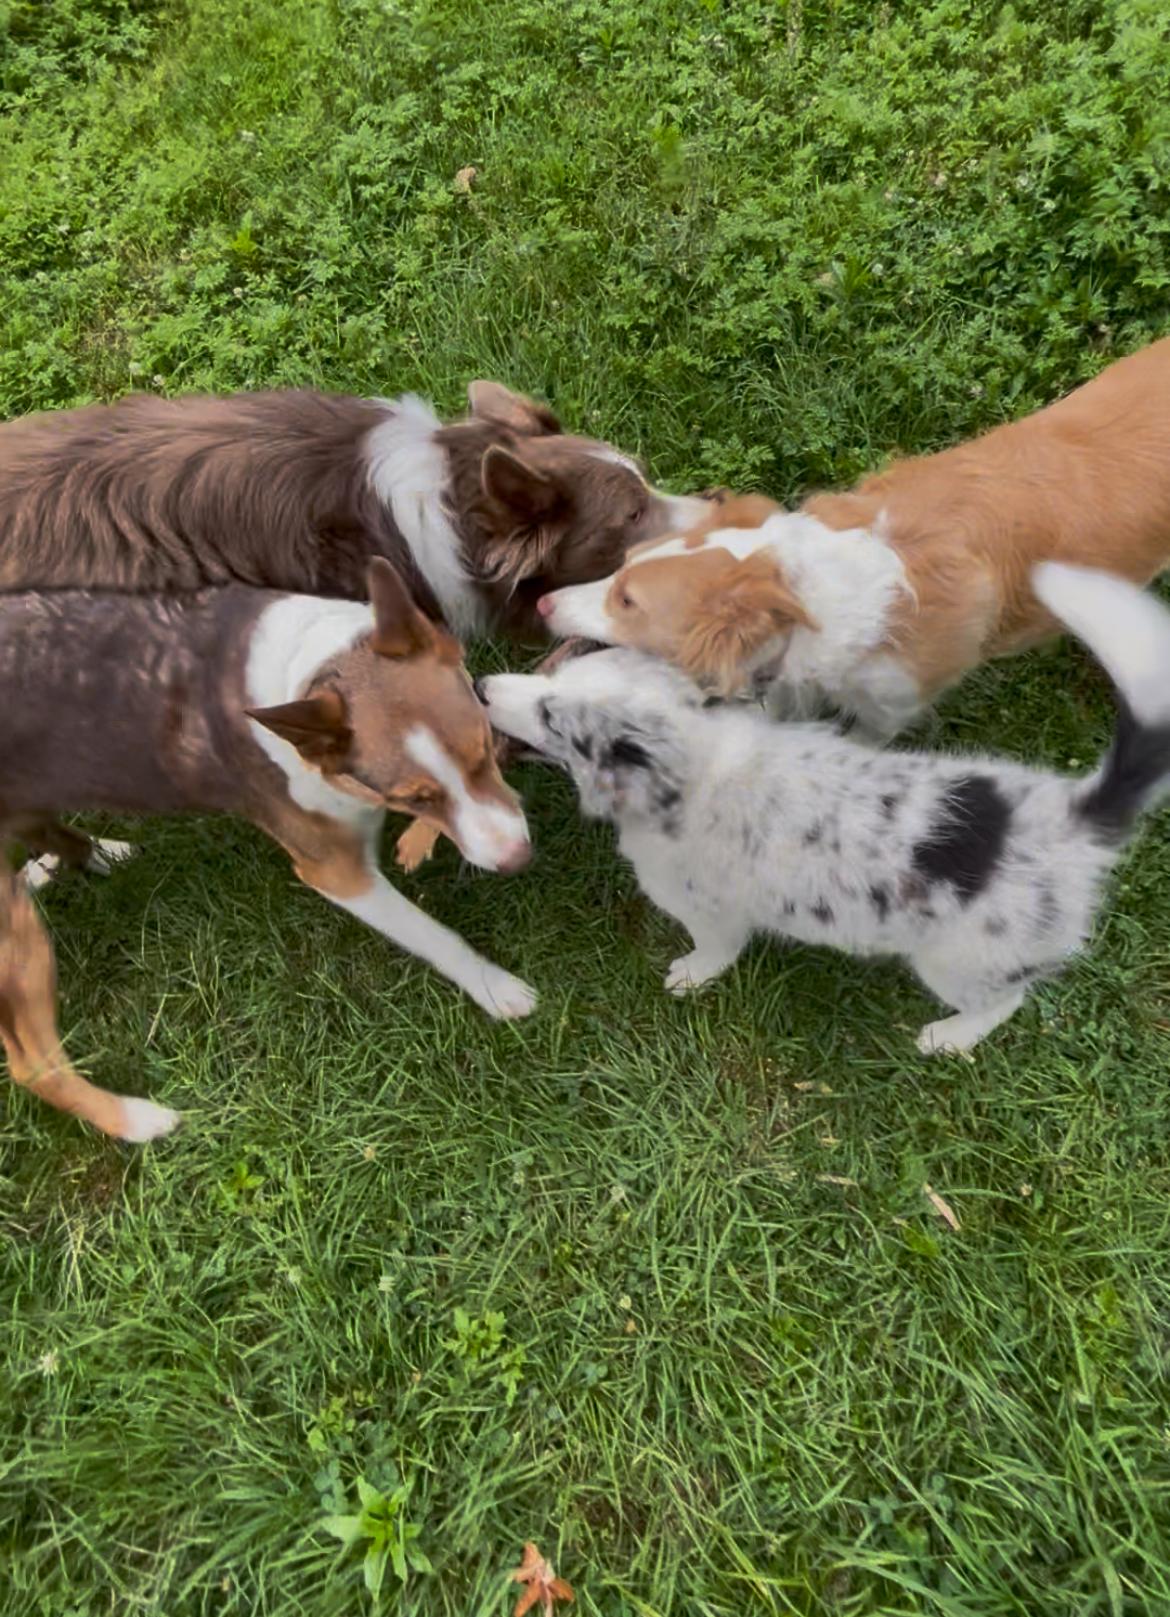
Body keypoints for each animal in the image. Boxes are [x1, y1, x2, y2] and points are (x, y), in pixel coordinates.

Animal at [0, 559, 535, 1140]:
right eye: (415, 796)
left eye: (483, 750)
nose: (517, 859)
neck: (311, 665)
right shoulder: (335, 870)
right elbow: (434, 935)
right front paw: (494, 986)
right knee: (31, 1064)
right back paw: (138, 1120)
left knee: (54, 835)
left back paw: (99, 854)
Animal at [481, 563, 1170, 1054]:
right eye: (556, 678)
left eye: (552, 718)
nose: (483, 687)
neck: (695, 762)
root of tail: (1074, 819)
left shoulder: (712, 913)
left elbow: (714, 952)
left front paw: (689, 977)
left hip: (960, 961)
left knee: (1004, 1002)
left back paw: (946, 1039)